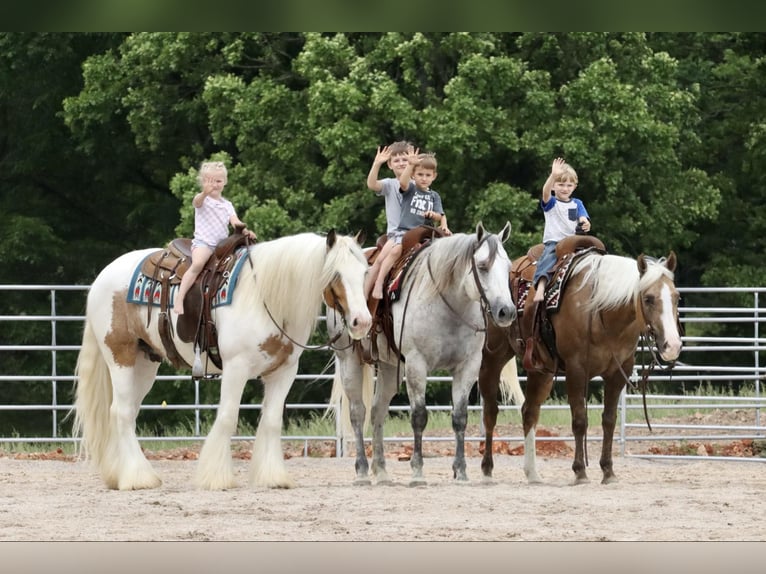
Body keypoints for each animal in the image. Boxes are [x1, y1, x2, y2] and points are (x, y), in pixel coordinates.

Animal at [73, 232, 374, 492]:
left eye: (364, 273)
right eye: (335, 274)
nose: (362, 321)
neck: (263, 296)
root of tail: (103, 276)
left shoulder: (284, 372)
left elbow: (272, 421)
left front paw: (272, 477)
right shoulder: (236, 368)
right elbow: (228, 417)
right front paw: (216, 478)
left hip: (145, 363)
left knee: (127, 412)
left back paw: (121, 474)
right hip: (120, 357)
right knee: (121, 412)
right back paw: (138, 478)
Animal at [328, 223, 516, 488]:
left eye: (508, 266)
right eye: (482, 266)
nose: (506, 311)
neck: (448, 305)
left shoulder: (468, 366)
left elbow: (460, 418)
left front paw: (461, 472)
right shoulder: (417, 364)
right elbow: (418, 416)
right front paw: (417, 471)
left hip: (389, 367)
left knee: (377, 412)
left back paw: (382, 471)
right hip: (349, 361)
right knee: (358, 413)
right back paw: (362, 471)